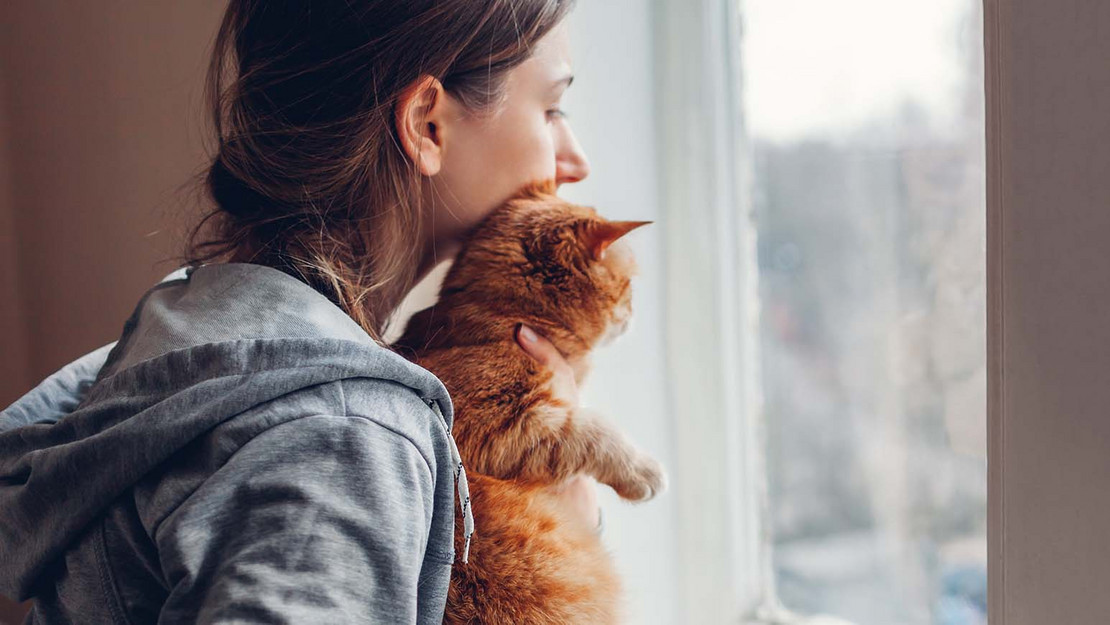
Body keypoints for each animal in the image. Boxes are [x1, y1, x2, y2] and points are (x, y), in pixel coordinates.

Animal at [395, 178, 661, 621]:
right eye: (628, 287)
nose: (635, 313)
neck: (501, 316)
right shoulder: (495, 427)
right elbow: (593, 431)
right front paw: (643, 471)